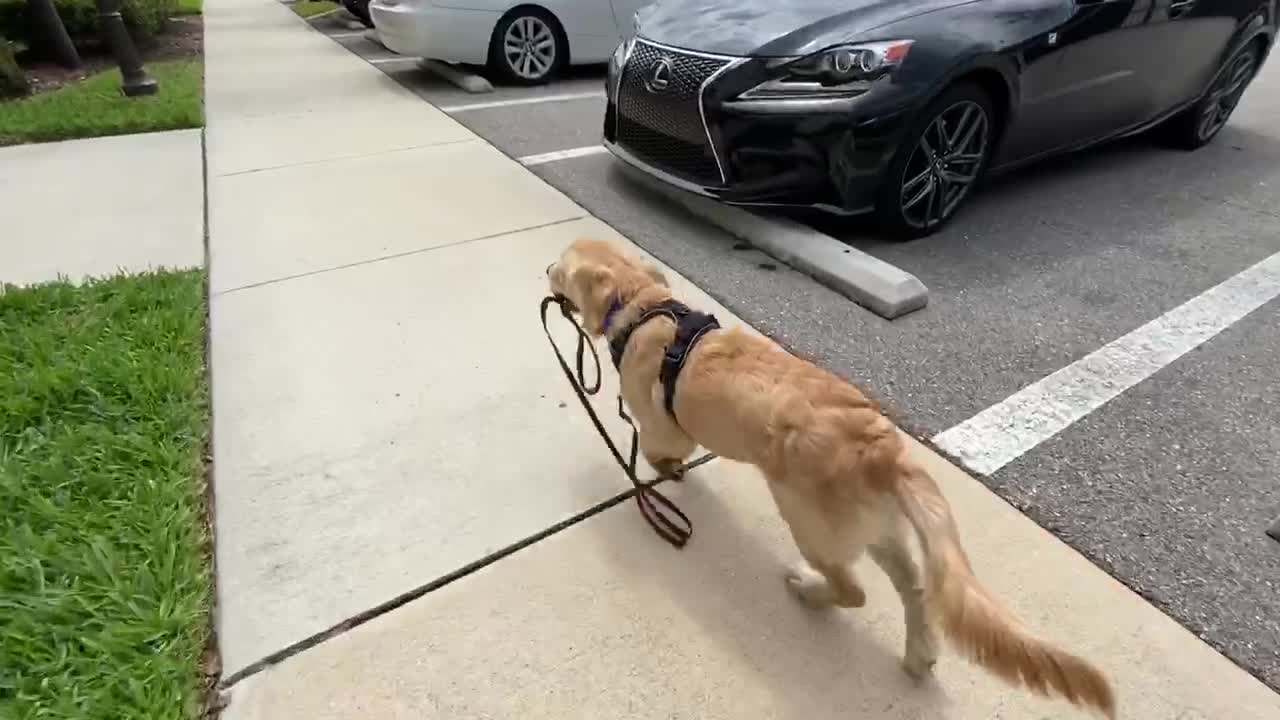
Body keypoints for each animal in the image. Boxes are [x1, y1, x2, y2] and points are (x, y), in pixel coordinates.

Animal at [545, 237, 1116, 712]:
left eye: (562, 265)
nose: (546, 269)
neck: (642, 305)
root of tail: (883, 449)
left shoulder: (666, 426)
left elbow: (658, 447)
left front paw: (664, 468)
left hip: (809, 524)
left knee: (853, 592)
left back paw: (808, 589)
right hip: (881, 531)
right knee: (916, 591)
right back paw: (919, 654)